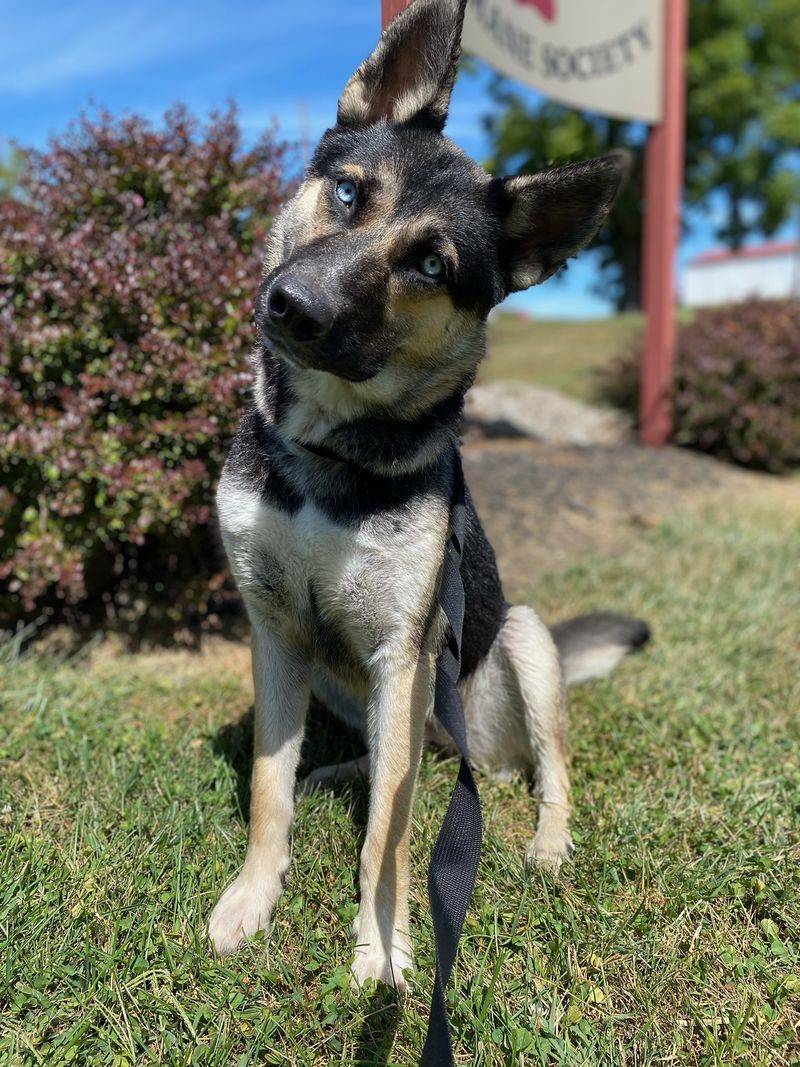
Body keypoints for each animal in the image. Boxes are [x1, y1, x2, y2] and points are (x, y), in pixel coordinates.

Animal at [208, 0, 652, 985]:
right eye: (347, 194)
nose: (293, 307)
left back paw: (547, 840)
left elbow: (390, 833)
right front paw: (253, 893)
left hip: (521, 637)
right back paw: (338, 771)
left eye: (432, 267)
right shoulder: (277, 633)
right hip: (354, 682)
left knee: (543, 771)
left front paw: (381, 940)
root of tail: (475, 746)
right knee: (387, 757)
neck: (327, 455)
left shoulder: (403, 652)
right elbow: (267, 782)